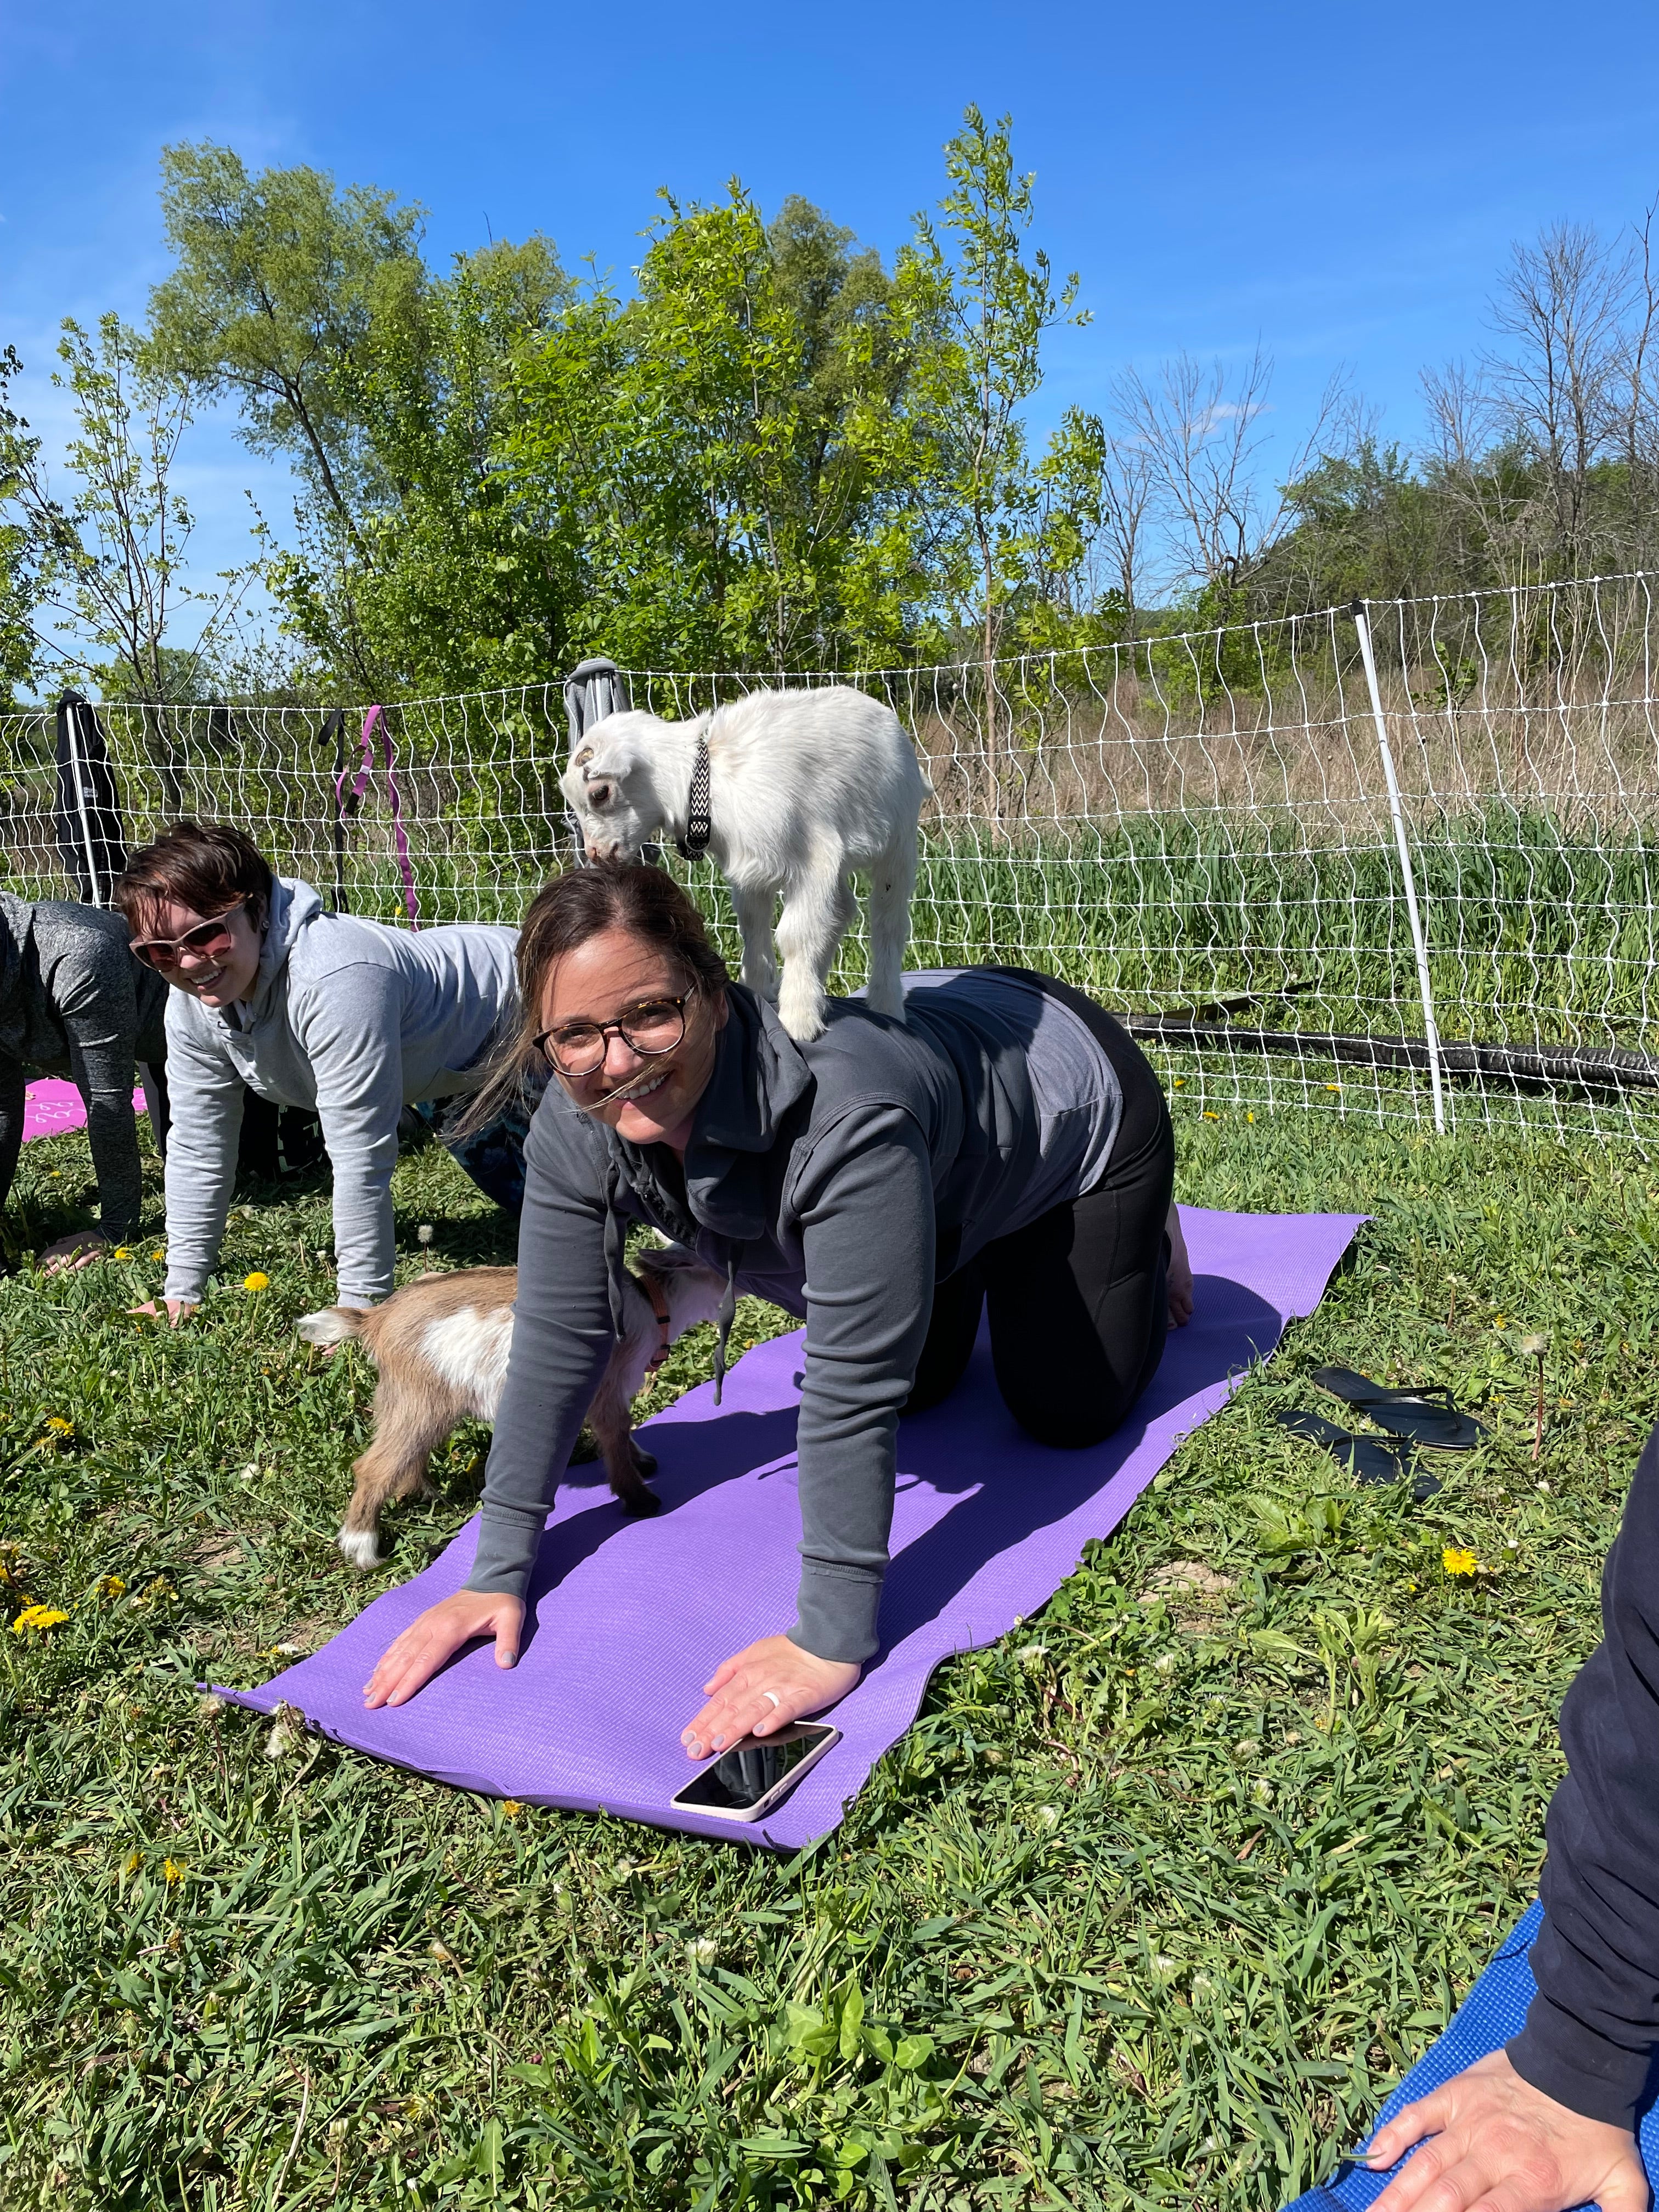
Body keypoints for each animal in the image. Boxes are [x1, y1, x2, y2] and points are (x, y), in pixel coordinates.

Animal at [298, 1248, 725, 1575]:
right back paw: (364, 1548)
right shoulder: (607, 1389)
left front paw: (644, 1462)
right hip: (424, 1398)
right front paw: (640, 1499)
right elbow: (616, 1433)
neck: (652, 1305)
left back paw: (428, 1496)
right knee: (373, 1467)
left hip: (401, 1398)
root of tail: (376, 1319)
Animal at [562, 685, 929, 1040]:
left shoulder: (813, 858)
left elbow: (796, 935)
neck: (709, 780)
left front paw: (798, 1022)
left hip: (899, 841)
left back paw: (885, 1005)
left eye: (600, 794)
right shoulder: (752, 869)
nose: (596, 854)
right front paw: (760, 992)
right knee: (840, 910)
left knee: (888, 921)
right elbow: (753, 925)